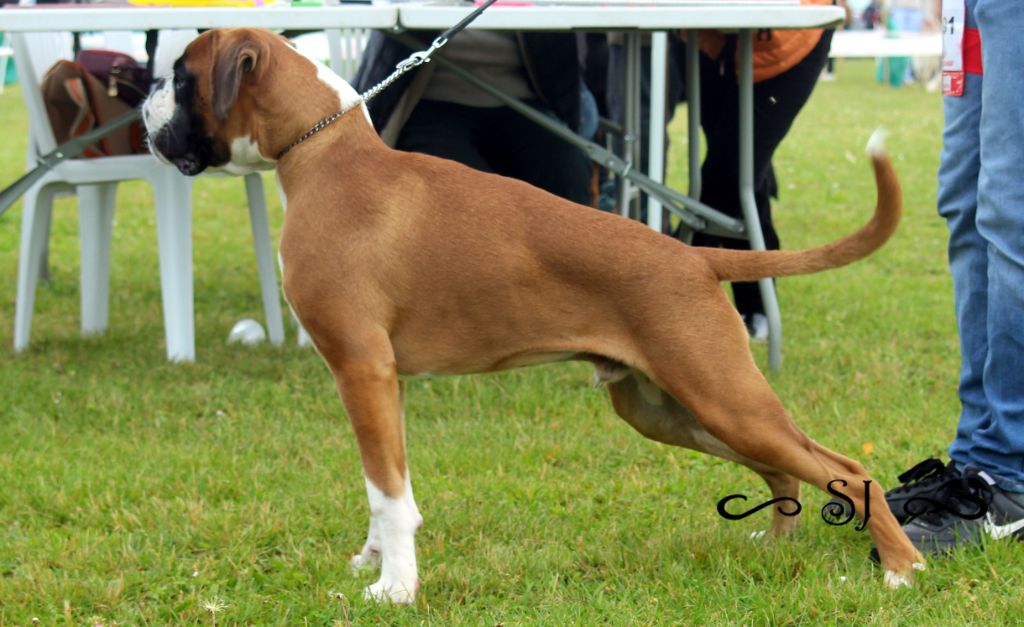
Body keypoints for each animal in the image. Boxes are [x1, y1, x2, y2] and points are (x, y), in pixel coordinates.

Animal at [142, 28, 929, 602]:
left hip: (720, 396)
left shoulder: (361, 370)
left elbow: (389, 493)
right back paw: (777, 548)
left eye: (180, 78)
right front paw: (374, 561)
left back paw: (902, 569)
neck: (324, 150)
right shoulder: (381, 385)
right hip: (672, 410)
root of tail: (697, 258)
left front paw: (394, 588)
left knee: (841, 464)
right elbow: (383, 484)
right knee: (788, 469)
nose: (143, 102)